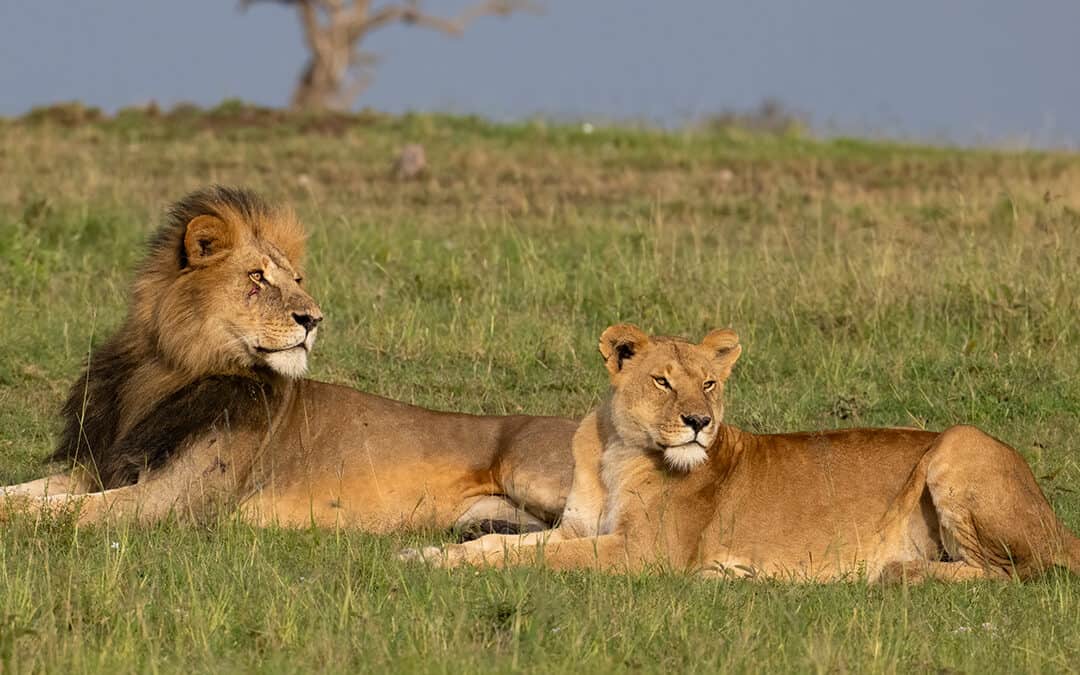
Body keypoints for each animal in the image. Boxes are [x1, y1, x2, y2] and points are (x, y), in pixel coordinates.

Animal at [4, 185, 578, 531]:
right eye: (258, 277)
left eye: (296, 280)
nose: (314, 319)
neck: (163, 372)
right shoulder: (104, 468)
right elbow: (24, 493)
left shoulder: (171, 499)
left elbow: (51, 510)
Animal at [406, 324, 1080, 583]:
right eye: (662, 381)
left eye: (708, 383)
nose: (699, 423)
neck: (616, 452)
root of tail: (1057, 521)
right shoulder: (580, 527)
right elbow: (501, 544)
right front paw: (426, 555)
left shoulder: (643, 555)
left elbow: (538, 559)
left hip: (961, 442)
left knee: (1016, 572)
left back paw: (893, 571)